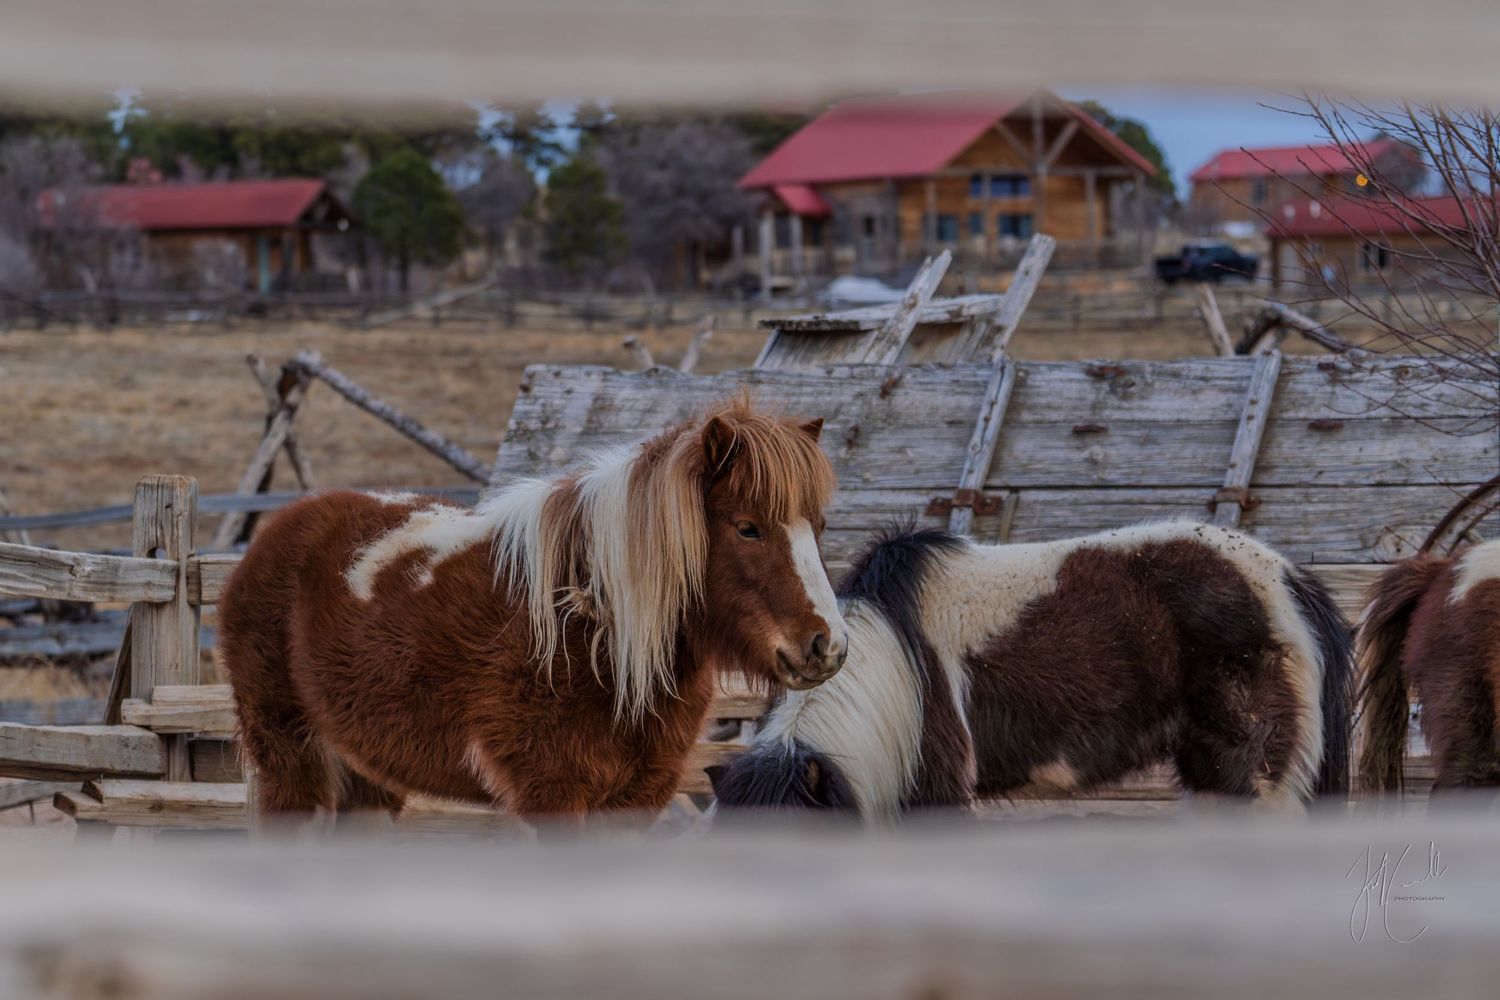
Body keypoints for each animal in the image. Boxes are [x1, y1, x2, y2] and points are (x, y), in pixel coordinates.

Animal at [218, 396, 848, 827]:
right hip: (291, 766)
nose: (827, 646)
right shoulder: (554, 799)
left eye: (817, 526)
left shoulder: (634, 803)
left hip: (369, 778)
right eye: (748, 527)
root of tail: (280, 529)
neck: (593, 637)